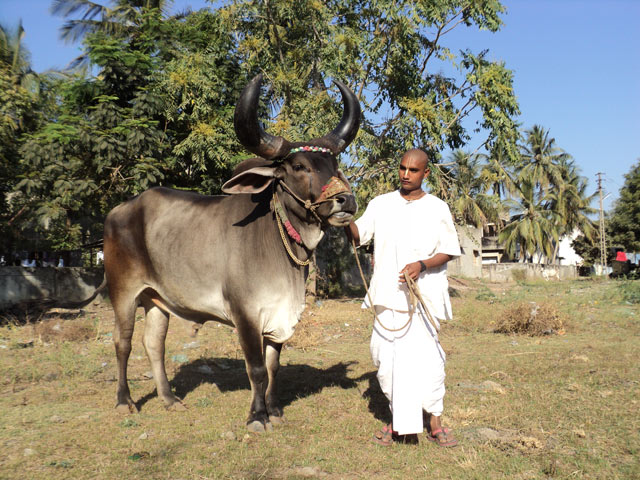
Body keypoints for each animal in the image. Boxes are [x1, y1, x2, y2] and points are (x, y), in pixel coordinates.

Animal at [92, 75, 360, 432]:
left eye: (334, 165)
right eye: (299, 166)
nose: (346, 200)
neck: (279, 243)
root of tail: (118, 210)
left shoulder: (280, 316)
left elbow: (273, 367)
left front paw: (275, 409)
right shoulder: (245, 313)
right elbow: (256, 369)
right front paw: (257, 416)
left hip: (156, 299)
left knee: (154, 344)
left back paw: (169, 399)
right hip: (123, 291)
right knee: (123, 342)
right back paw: (125, 401)